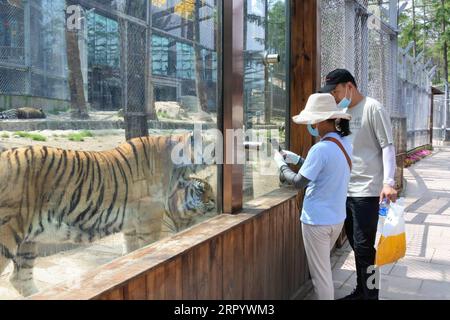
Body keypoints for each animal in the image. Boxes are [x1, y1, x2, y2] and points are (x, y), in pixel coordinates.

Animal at [0, 134, 216, 296]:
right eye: (211, 144)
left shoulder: (131, 226)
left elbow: (132, 255)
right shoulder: (150, 219)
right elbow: (151, 249)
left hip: (28, 240)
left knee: (20, 278)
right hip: (7, 234)